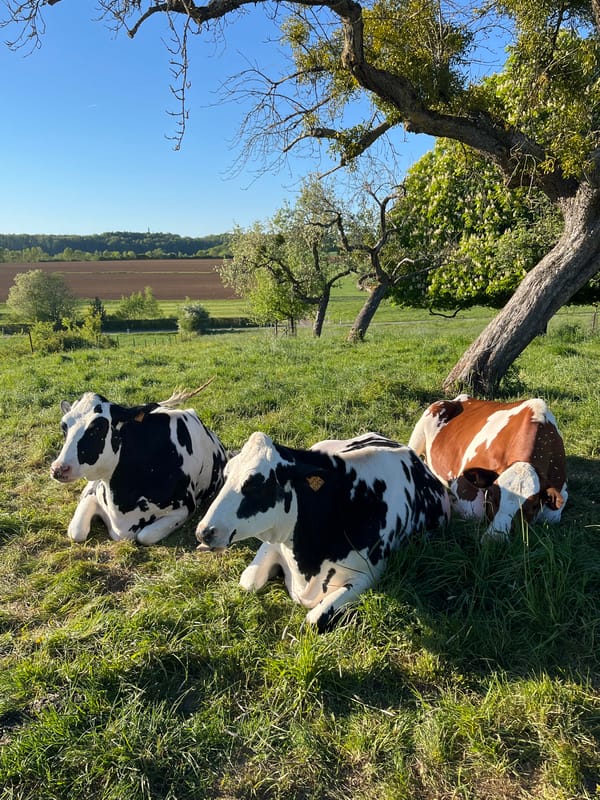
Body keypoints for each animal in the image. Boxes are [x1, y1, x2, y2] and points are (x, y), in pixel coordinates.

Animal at [51, 383, 227, 545]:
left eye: (97, 427)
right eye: (64, 426)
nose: (58, 468)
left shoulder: (185, 509)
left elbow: (145, 536)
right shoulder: (94, 495)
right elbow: (76, 532)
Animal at [195, 431, 450, 631]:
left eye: (256, 483)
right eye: (226, 476)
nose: (203, 532)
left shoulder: (370, 574)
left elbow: (314, 620)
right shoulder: (272, 542)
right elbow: (247, 584)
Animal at [408, 395, 568, 538]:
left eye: (532, 506)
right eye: (492, 496)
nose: (494, 539)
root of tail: (461, 398)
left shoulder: (561, 488)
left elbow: (552, 516)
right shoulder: (463, 482)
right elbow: (476, 513)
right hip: (418, 435)